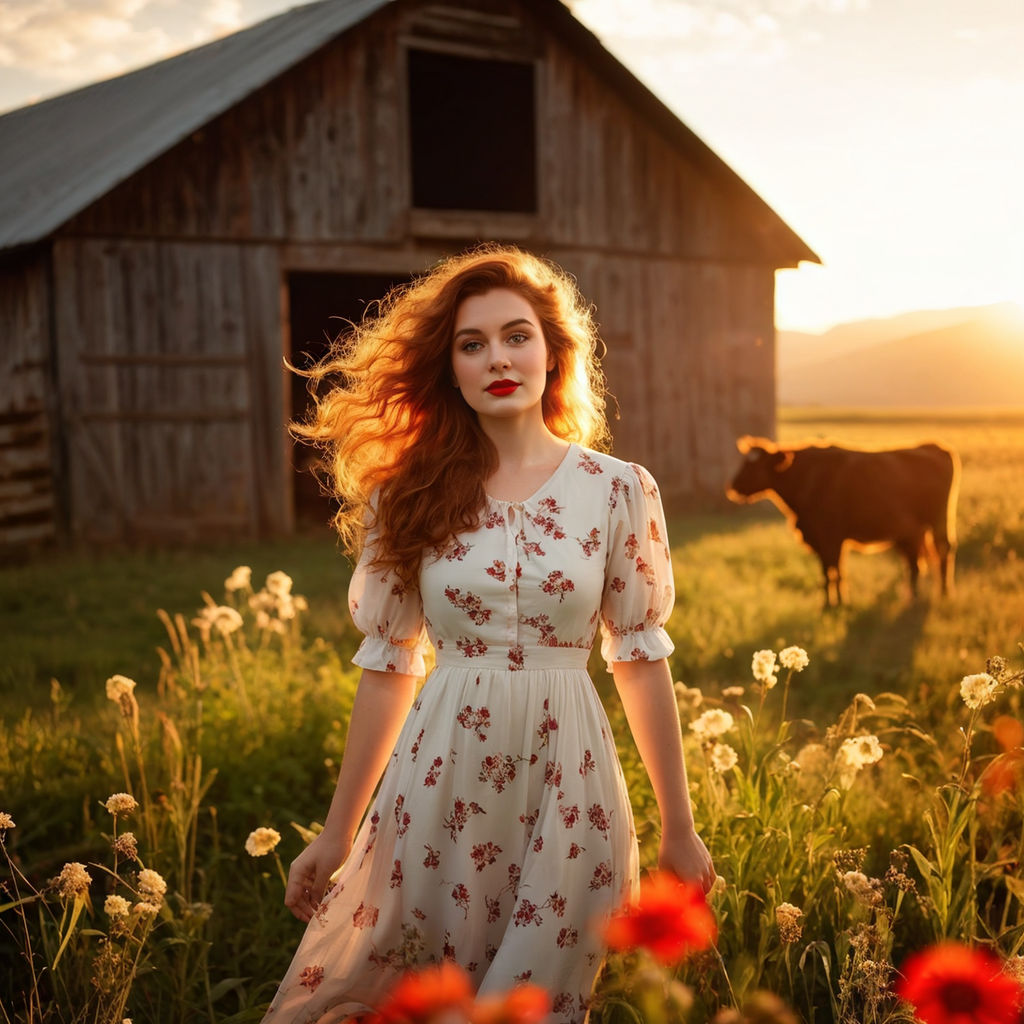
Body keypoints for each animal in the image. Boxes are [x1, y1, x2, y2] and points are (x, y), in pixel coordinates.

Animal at [729, 434, 958, 606]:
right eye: (744, 461)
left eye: (755, 465)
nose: (733, 486)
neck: (808, 477)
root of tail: (933, 446)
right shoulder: (821, 541)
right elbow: (826, 573)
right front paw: (828, 605)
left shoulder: (832, 537)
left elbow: (836, 572)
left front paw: (839, 603)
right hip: (912, 532)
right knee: (915, 563)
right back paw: (913, 597)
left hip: (938, 522)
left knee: (943, 550)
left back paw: (943, 593)